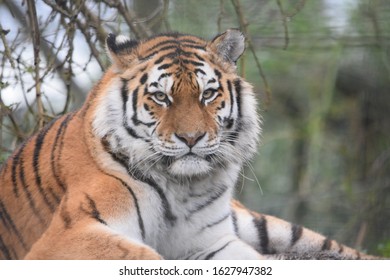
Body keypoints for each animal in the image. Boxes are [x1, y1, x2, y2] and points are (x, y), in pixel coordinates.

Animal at [0, 29, 378, 260]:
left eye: (207, 94)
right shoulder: (68, 235)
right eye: (160, 97)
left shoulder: (212, 242)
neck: (181, 187)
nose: (191, 138)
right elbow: (144, 255)